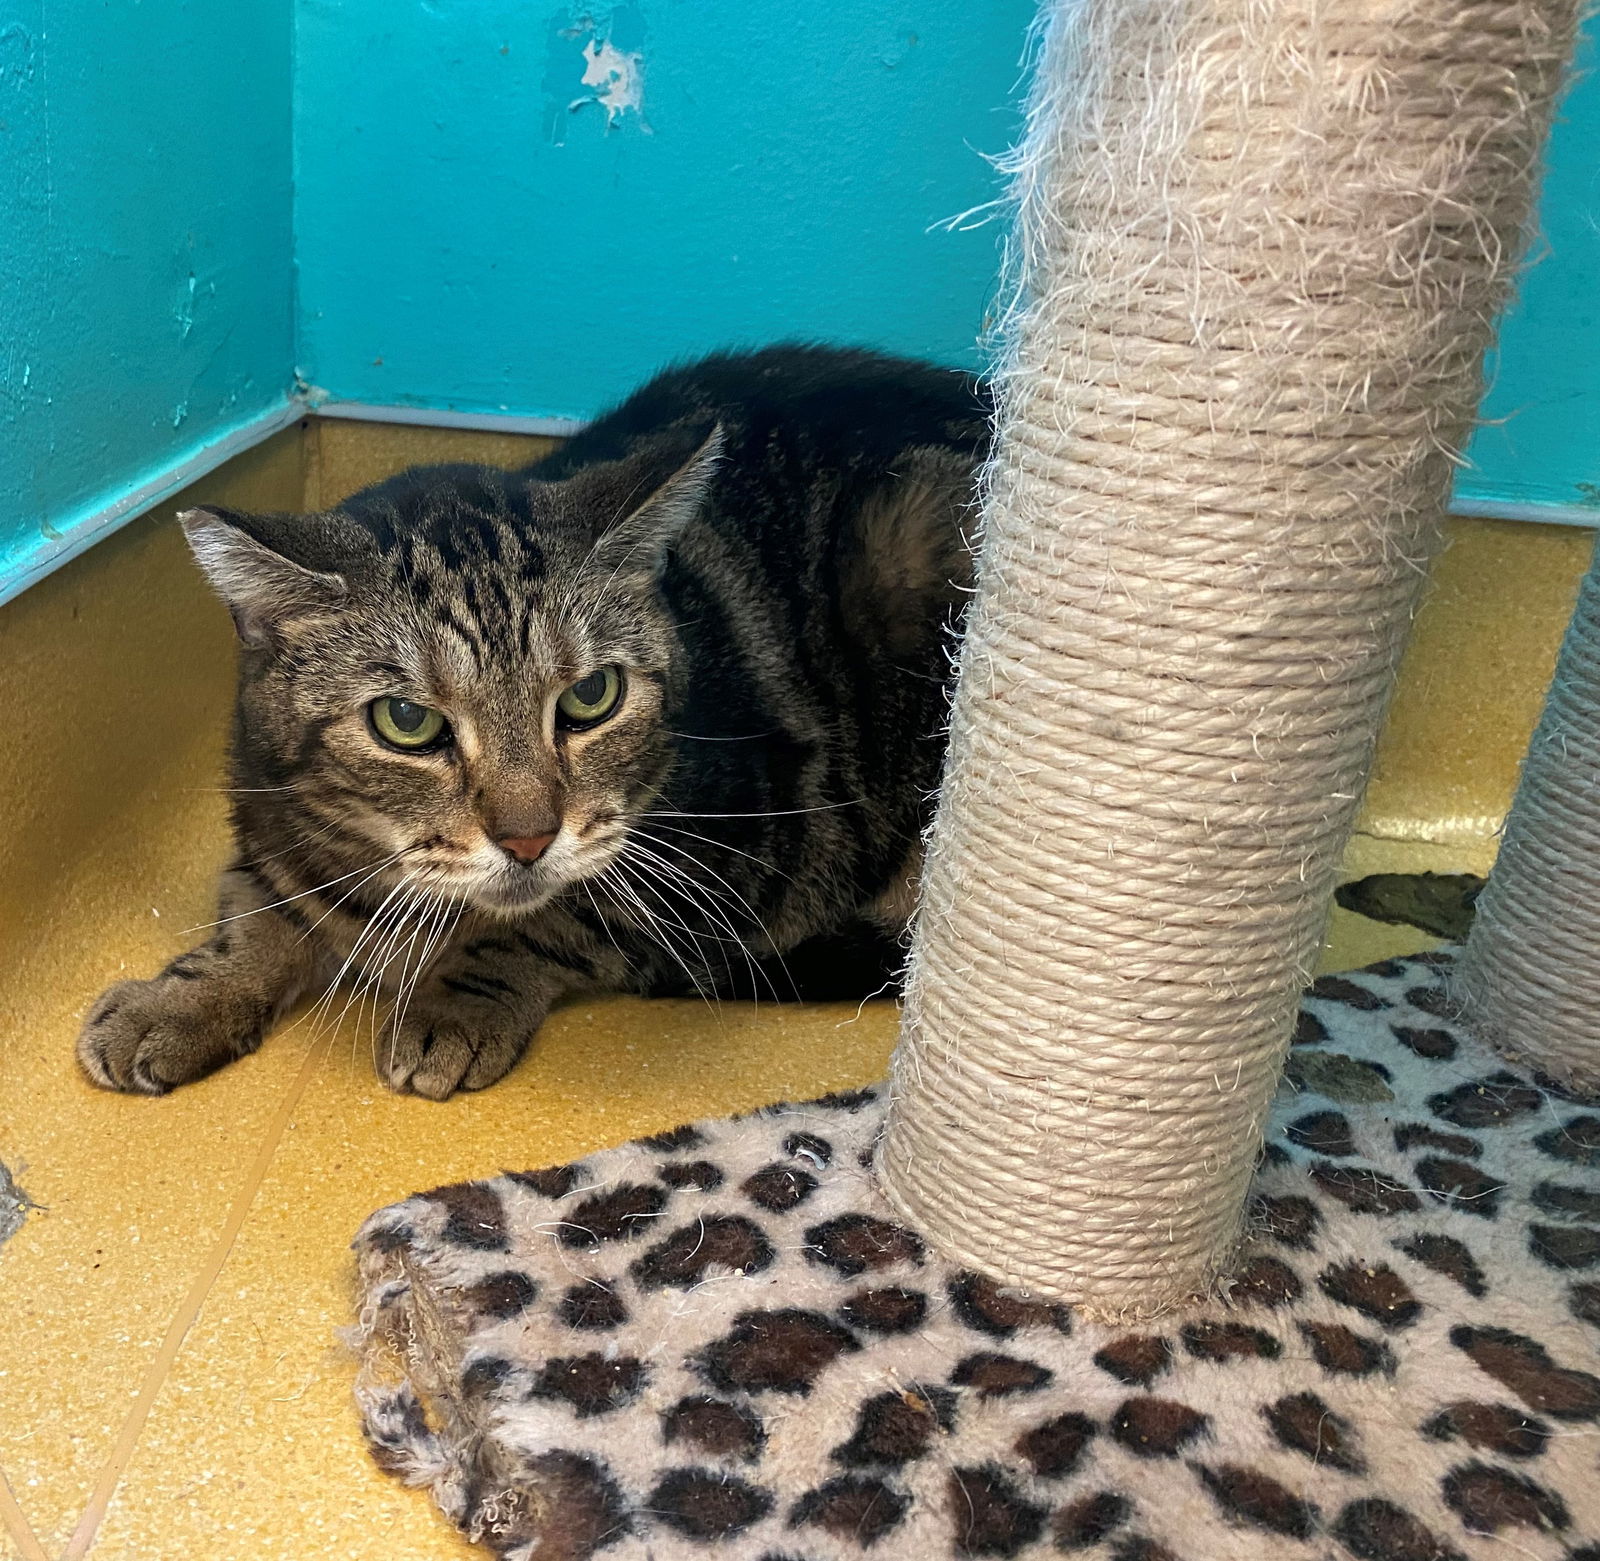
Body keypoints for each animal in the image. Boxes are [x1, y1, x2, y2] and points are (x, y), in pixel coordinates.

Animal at [84, 343, 998, 1100]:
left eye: (592, 695)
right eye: (406, 720)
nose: (527, 839)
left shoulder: (730, 849)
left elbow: (555, 916)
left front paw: (454, 1002)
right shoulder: (270, 826)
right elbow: (258, 916)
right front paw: (178, 1000)